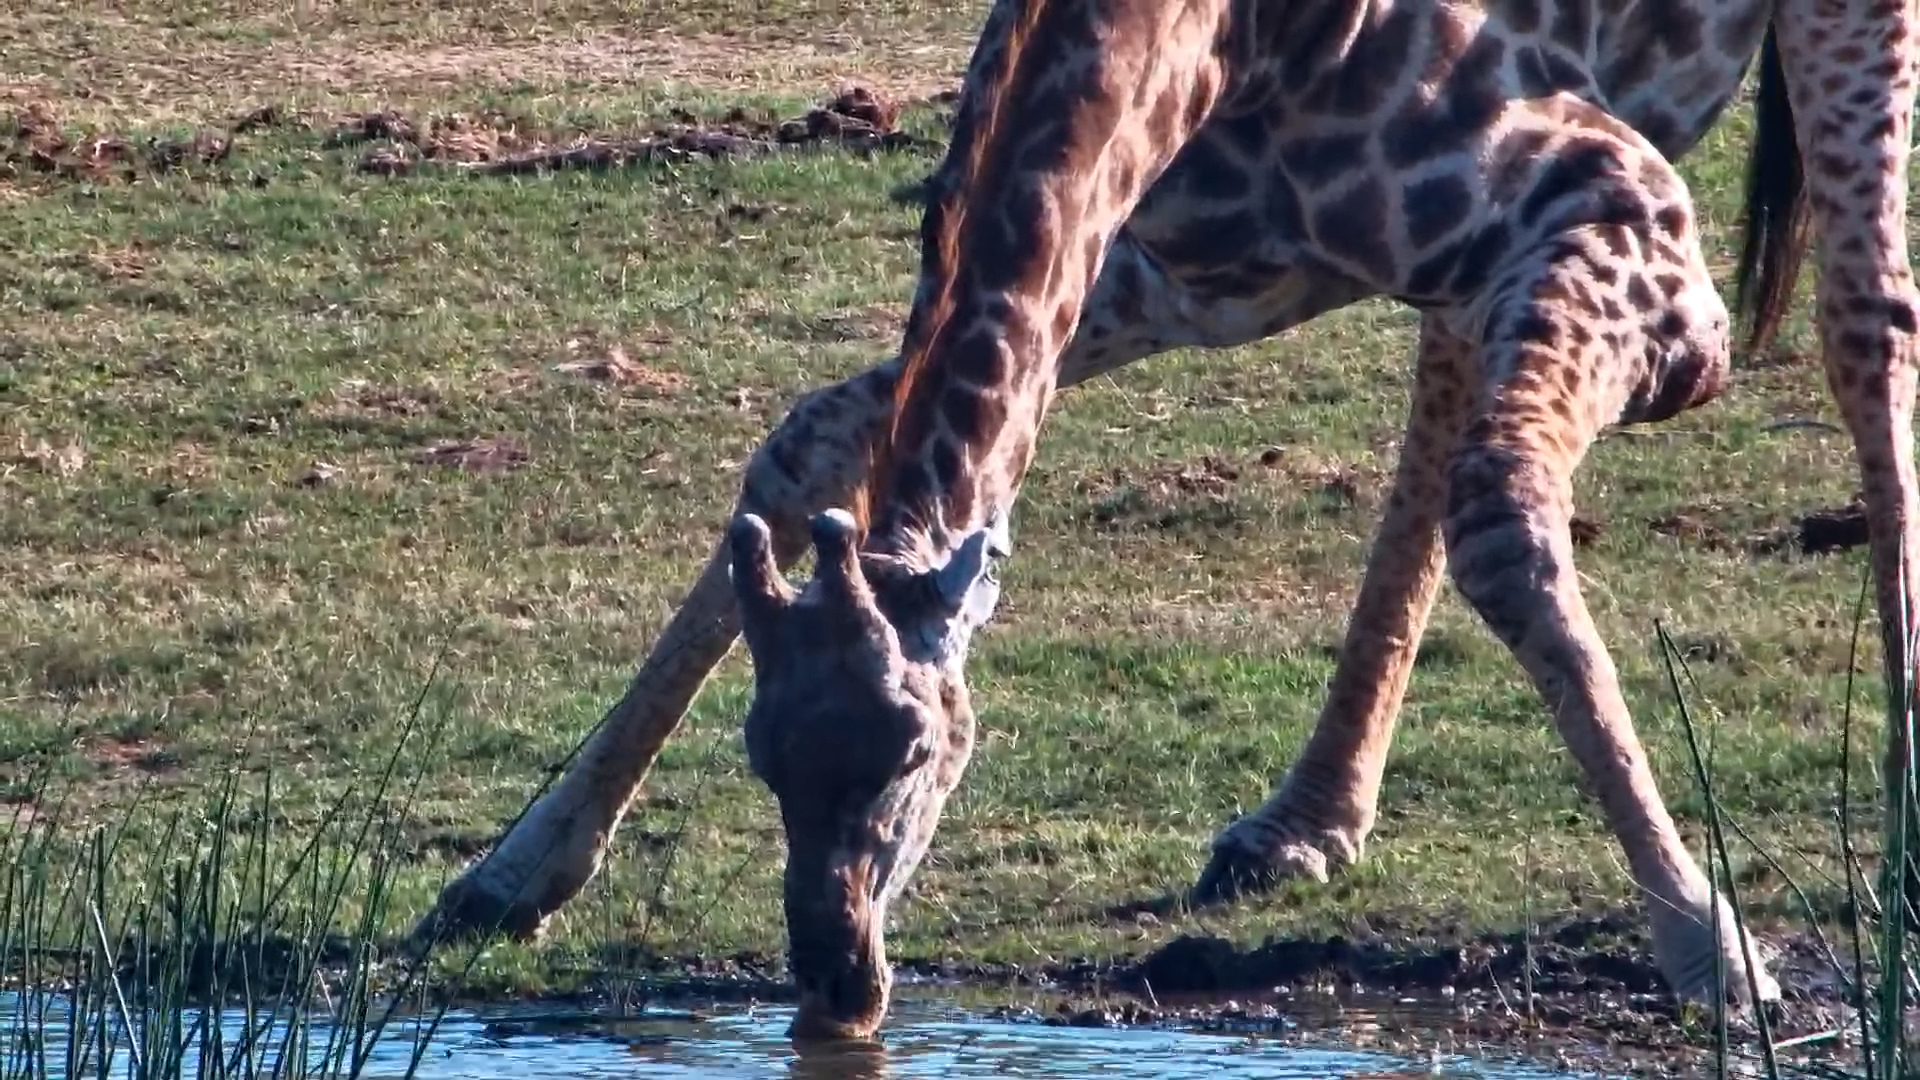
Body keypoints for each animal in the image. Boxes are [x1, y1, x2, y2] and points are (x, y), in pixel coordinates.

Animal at [420, 0, 1920, 1043]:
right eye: (762, 759)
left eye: (916, 748)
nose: (837, 982)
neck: (1212, 45)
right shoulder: (1171, 266)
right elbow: (806, 443)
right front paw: (511, 871)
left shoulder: (1637, 235)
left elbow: (1506, 515)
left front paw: (1714, 952)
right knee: (1447, 384)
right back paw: (1302, 822)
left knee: (1866, 332)